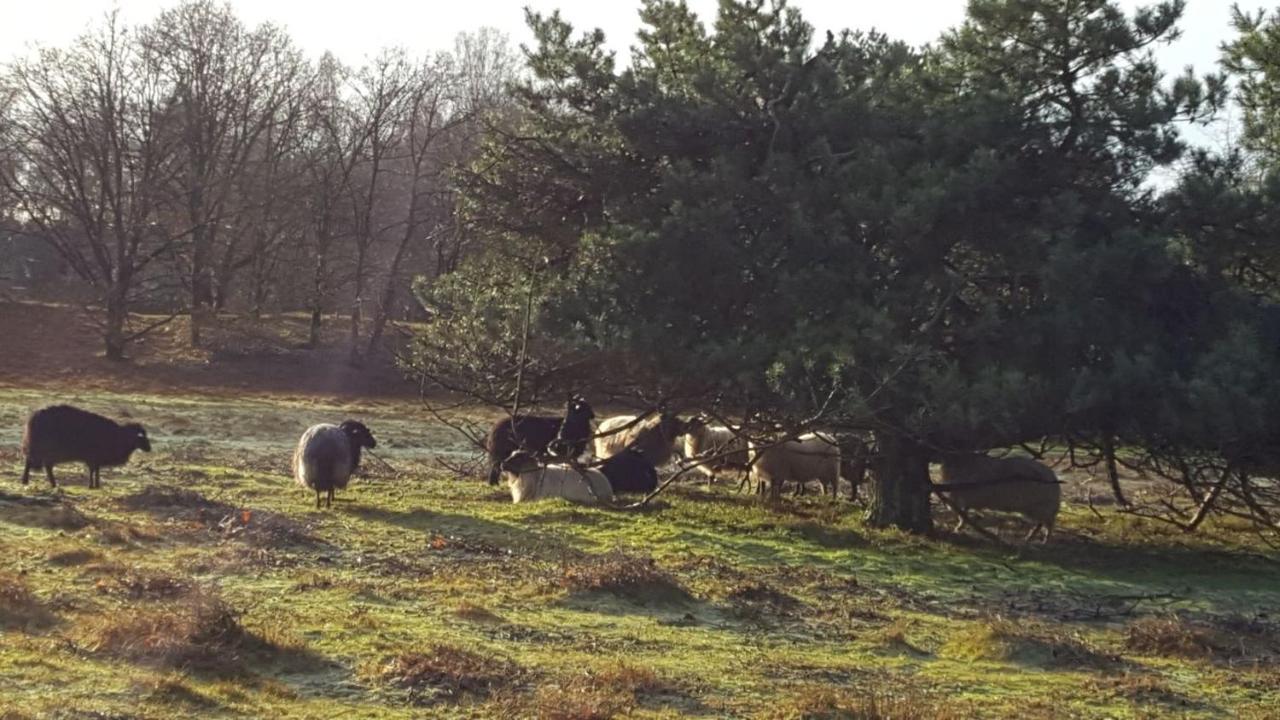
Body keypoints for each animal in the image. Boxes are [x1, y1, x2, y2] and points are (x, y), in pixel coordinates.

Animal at [20, 404, 151, 486]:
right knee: (33, 463)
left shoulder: (96, 458)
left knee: (43, 466)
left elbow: (95, 470)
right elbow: (93, 470)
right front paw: (92, 485)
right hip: (42, 449)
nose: (149, 448)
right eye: (141, 437)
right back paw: (32, 481)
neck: (120, 437)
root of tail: (33, 418)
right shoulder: (93, 457)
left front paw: (96, 485)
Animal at [936, 453, 1064, 538]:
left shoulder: (963, 499)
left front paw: (958, 528)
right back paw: (1031, 537)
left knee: (1048, 523)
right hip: (1037, 509)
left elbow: (962, 515)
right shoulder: (965, 500)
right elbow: (963, 514)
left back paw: (1044, 538)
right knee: (1042, 523)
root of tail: (1053, 477)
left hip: (1041, 508)